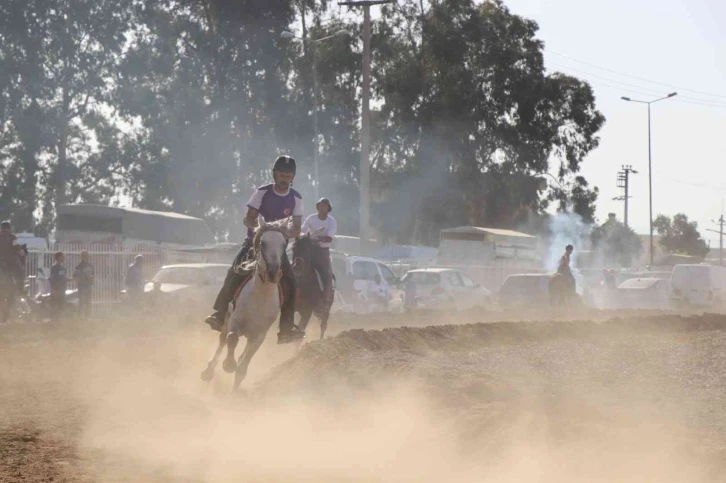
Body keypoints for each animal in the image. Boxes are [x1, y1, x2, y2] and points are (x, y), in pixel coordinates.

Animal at [200, 217, 292, 392]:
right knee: (223, 340)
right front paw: (228, 364)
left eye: (284, 244)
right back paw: (208, 371)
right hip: (226, 318)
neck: (260, 297)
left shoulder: (260, 335)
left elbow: (243, 368)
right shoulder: (235, 320)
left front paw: (233, 394)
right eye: (262, 243)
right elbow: (231, 339)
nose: (273, 273)